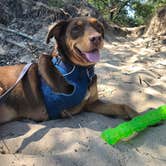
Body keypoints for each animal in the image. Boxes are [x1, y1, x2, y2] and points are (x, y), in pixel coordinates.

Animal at [0, 16, 137, 124]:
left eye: (97, 26)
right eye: (76, 29)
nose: (97, 38)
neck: (81, 71)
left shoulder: (92, 103)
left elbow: (123, 106)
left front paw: (137, 116)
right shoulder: (68, 110)